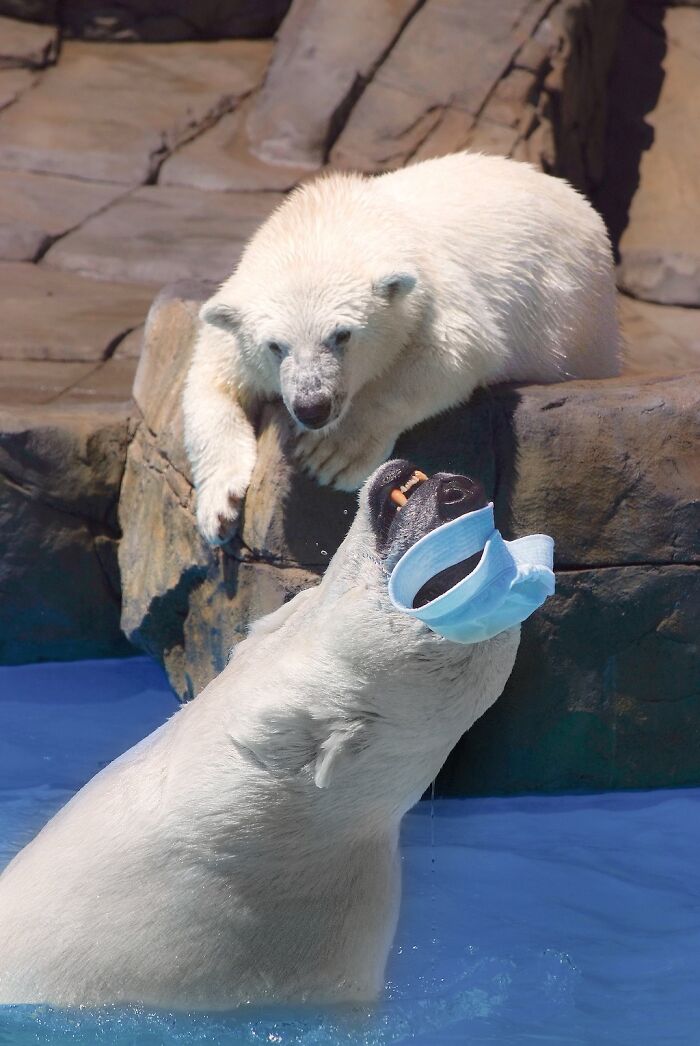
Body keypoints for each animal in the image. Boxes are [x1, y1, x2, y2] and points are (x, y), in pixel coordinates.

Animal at [184, 154, 615, 548]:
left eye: (342, 335)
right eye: (275, 346)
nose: (312, 407)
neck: (326, 219)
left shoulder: (431, 287)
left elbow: (455, 348)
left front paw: (332, 455)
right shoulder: (235, 331)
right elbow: (208, 380)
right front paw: (218, 509)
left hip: (576, 313)